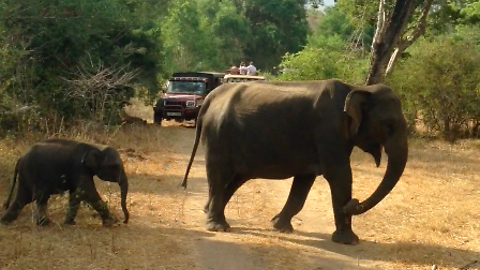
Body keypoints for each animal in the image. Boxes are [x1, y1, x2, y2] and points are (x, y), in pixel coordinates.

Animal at [0, 139, 129, 226]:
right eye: (115, 166)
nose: (124, 221)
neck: (95, 147)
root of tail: (20, 158)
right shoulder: (80, 168)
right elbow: (86, 192)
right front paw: (111, 223)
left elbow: (76, 194)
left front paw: (69, 223)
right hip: (32, 173)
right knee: (40, 197)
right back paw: (45, 224)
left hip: (26, 176)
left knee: (23, 198)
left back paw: (5, 222)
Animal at [182, 78, 406, 245]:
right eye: (389, 124)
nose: (353, 203)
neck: (357, 89)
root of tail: (210, 98)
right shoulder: (329, 131)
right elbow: (340, 175)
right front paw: (349, 241)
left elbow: (304, 181)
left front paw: (280, 227)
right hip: (218, 135)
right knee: (219, 176)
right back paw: (218, 227)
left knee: (236, 178)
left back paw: (207, 211)